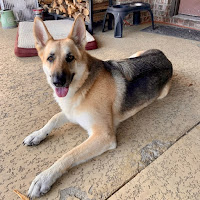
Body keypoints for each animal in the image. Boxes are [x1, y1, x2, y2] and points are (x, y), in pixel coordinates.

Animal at [23, 14, 173, 198]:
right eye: (50, 58)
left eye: (70, 58)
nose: (58, 82)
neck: (84, 85)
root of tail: (165, 57)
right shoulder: (70, 112)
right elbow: (53, 119)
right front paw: (37, 135)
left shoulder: (103, 136)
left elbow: (69, 154)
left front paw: (45, 177)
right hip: (133, 55)